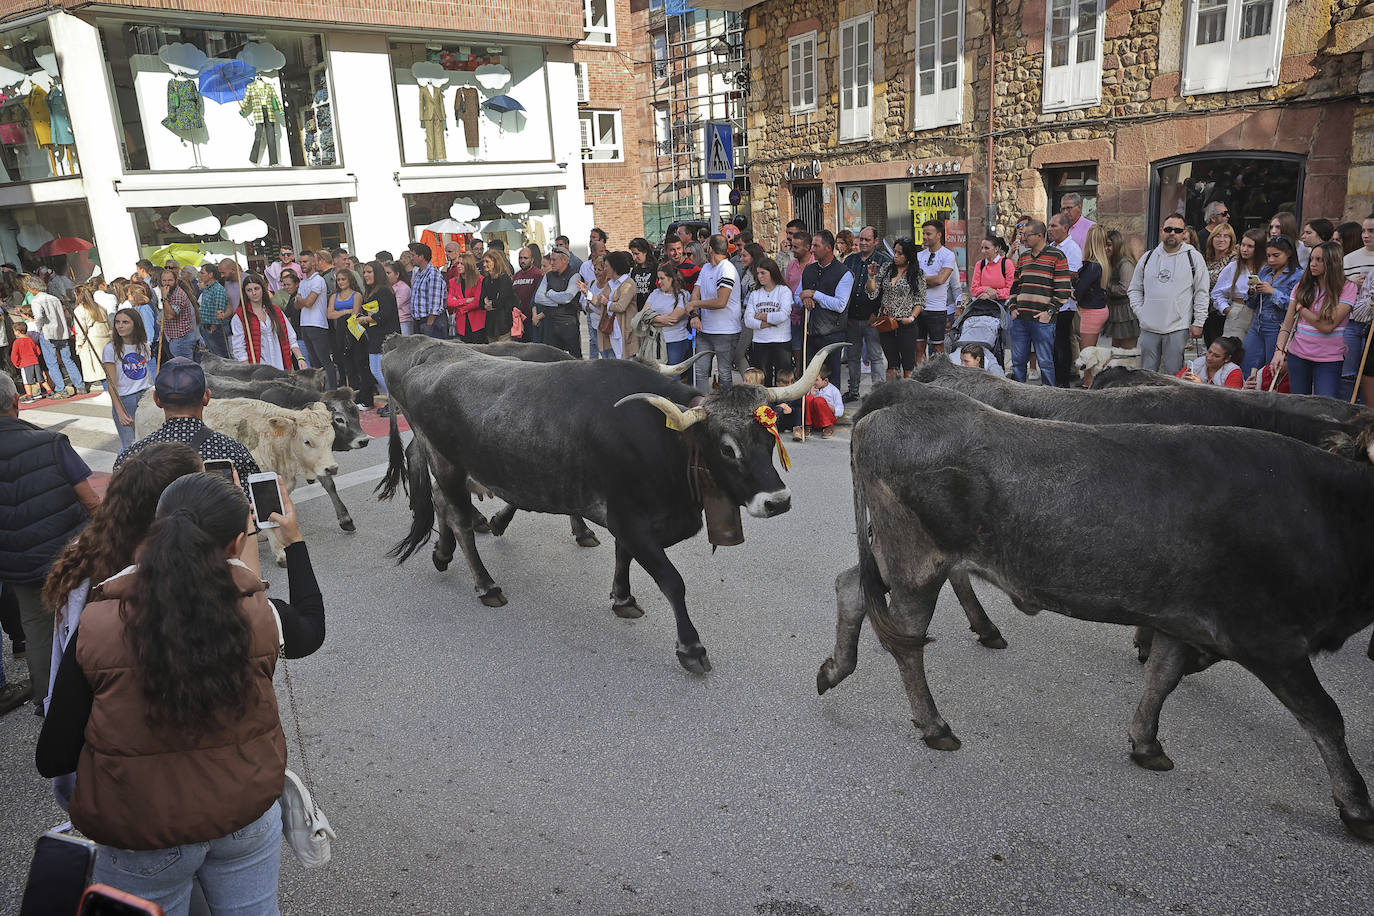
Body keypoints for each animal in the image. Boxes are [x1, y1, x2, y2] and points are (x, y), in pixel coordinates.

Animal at [379, 336, 846, 672]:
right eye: (726, 448)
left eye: (769, 438)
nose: (778, 501)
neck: (663, 440)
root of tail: (420, 352)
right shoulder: (631, 519)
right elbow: (672, 581)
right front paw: (691, 647)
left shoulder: (630, 520)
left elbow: (623, 558)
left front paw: (622, 598)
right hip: (446, 462)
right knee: (457, 515)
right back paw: (486, 584)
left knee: (442, 507)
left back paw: (443, 554)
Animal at [818, 384, 1374, 840]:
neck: (1327, 509)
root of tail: (908, 395)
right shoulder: (1269, 639)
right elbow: (1325, 716)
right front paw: (1358, 807)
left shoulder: (1179, 619)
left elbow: (1162, 678)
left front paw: (1146, 743)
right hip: (916, 564)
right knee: (906, 641)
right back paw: (934, 725)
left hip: (895, 560)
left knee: (851, 587)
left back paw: (836, 668)